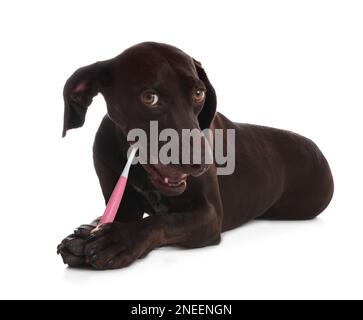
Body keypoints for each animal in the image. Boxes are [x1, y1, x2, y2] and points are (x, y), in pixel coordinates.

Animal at [57, 41, 336, 268]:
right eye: (150, 97)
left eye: (198, 93)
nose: (200, 163)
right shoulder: (122, 204)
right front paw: (85, 233)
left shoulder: (210, 215)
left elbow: (162, 222)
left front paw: (120, 239)